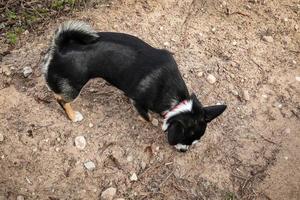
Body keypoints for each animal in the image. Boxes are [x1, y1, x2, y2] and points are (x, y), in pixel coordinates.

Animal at [41, 21, 226, 152]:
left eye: (194, 142)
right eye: (184, 140)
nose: (183, 151)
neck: (177, 101)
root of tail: (61, 48)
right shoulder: (138, 101)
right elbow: (147, 117)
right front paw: (151, 121)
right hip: (74, 86)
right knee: (60, 99)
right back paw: (72, 116)